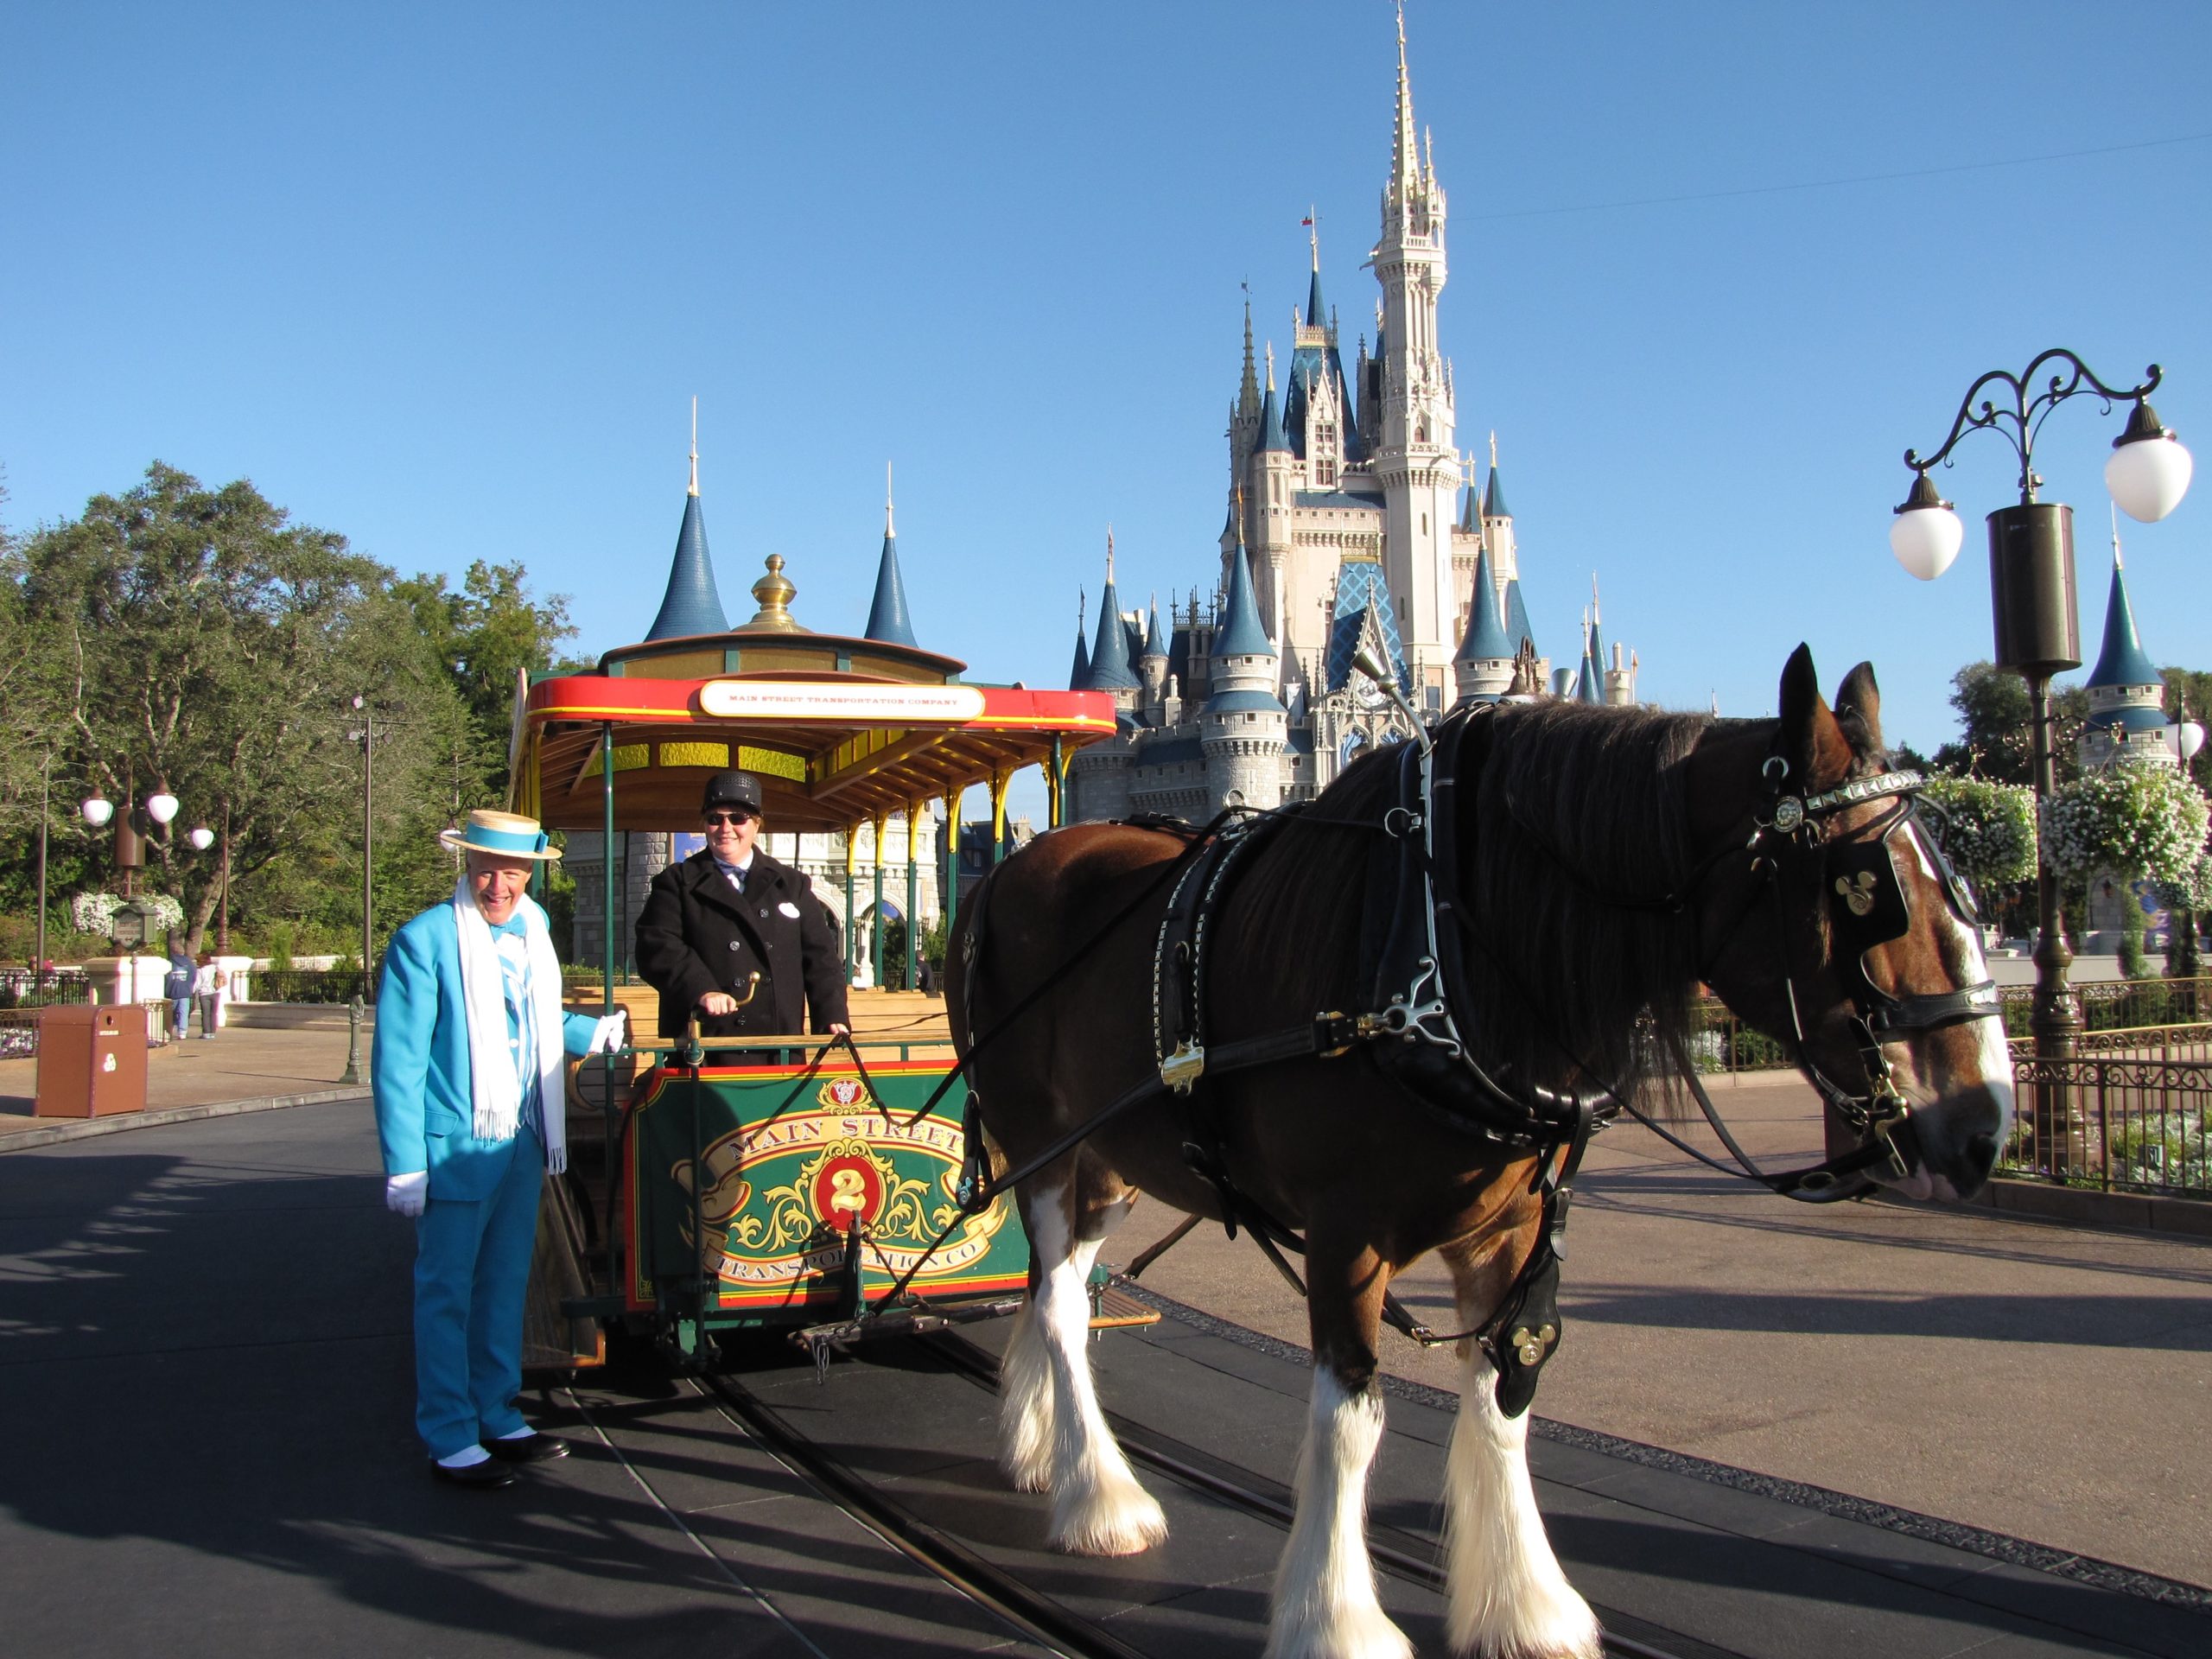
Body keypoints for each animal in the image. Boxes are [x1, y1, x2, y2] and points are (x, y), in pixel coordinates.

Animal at [942, 654, 2017, 1659]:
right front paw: (1335, 1622)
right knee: (1062, 1301)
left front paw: (1526, 1608)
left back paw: (1042, 1451)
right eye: (1867, 889)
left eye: (1963, 881)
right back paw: (1101, 1499)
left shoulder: (1514, 1226)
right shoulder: (1344, 1233)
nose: (1985, 1122)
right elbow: (1352, 1418)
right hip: (1037, 1139)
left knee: (1055, 1290)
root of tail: (1003, 874)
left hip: (1109, 1156)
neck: (1448, 950)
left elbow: (1506, 1400)